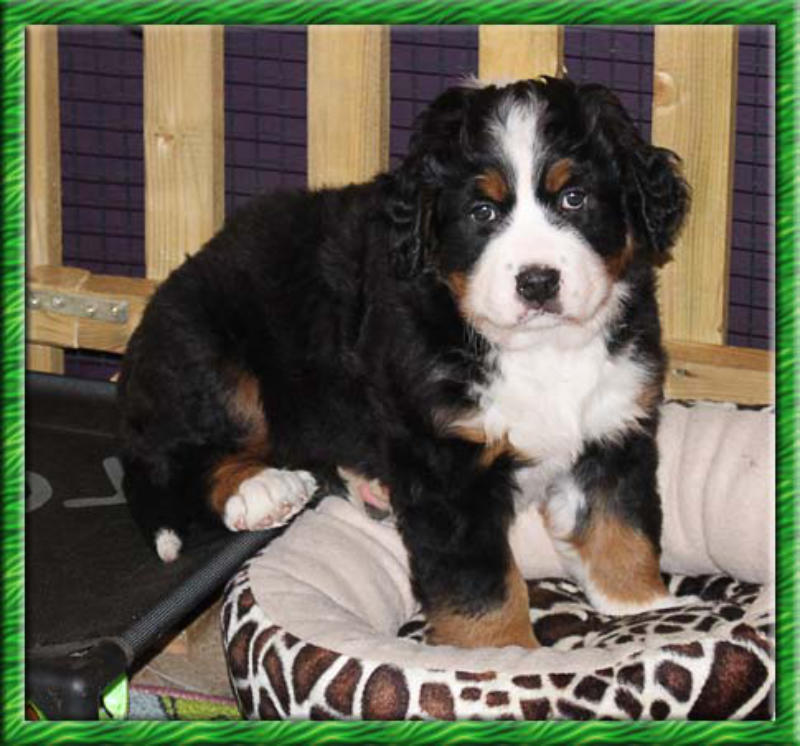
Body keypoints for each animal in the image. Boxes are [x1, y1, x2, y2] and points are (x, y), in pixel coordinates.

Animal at [118, 77, 689, 649]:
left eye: (574, 198)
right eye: (482, 212)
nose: (537, 281)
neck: (540, 351)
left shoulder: (613, 426)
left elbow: (621, 527)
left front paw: (644, 608)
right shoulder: (445, 463)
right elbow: (483, 587)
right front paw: (505, 655)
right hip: (213, 359)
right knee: (186, 459)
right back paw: (260, 489)